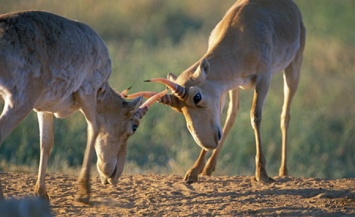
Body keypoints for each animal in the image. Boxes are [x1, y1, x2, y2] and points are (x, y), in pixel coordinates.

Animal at [0, 10, 167, 203]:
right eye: (134, 127)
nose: (115, 176)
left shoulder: (44, 108)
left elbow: (46, 142)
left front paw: (41, 193)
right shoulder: (88, 91)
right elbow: (93, 129)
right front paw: (84, 193)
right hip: (20, 102)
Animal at [145, 0, 306, 183]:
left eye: (197, 96)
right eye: (176, 108)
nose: (208, 142)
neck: (240, 32)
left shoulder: (264, 78)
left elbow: (255, 116)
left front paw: (262, 174)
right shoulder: (223, 87)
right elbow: (222, 117)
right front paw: (193, 171)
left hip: (294, 66)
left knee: (285, 115)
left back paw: (283, 171)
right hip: (235, 88)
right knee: (232, 114)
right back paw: (209, 168)